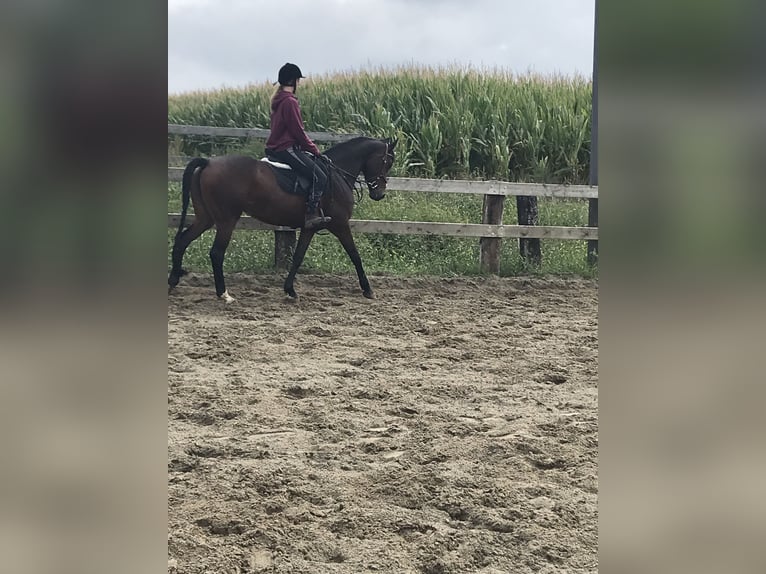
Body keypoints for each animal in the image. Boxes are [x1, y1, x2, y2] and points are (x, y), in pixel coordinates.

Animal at [166, 137, 396, 304]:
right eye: (387, 161)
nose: (380, 193)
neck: (337, 175)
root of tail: (208, 162)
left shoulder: (310, 227)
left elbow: (298, 257)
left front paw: (290, 290)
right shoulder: (340, 225)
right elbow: (355, 255)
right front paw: (368, 289)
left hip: (206, 218)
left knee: (182, 240)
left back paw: (173, 280)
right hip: (226, 220)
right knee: (216, 253)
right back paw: (224, 294)